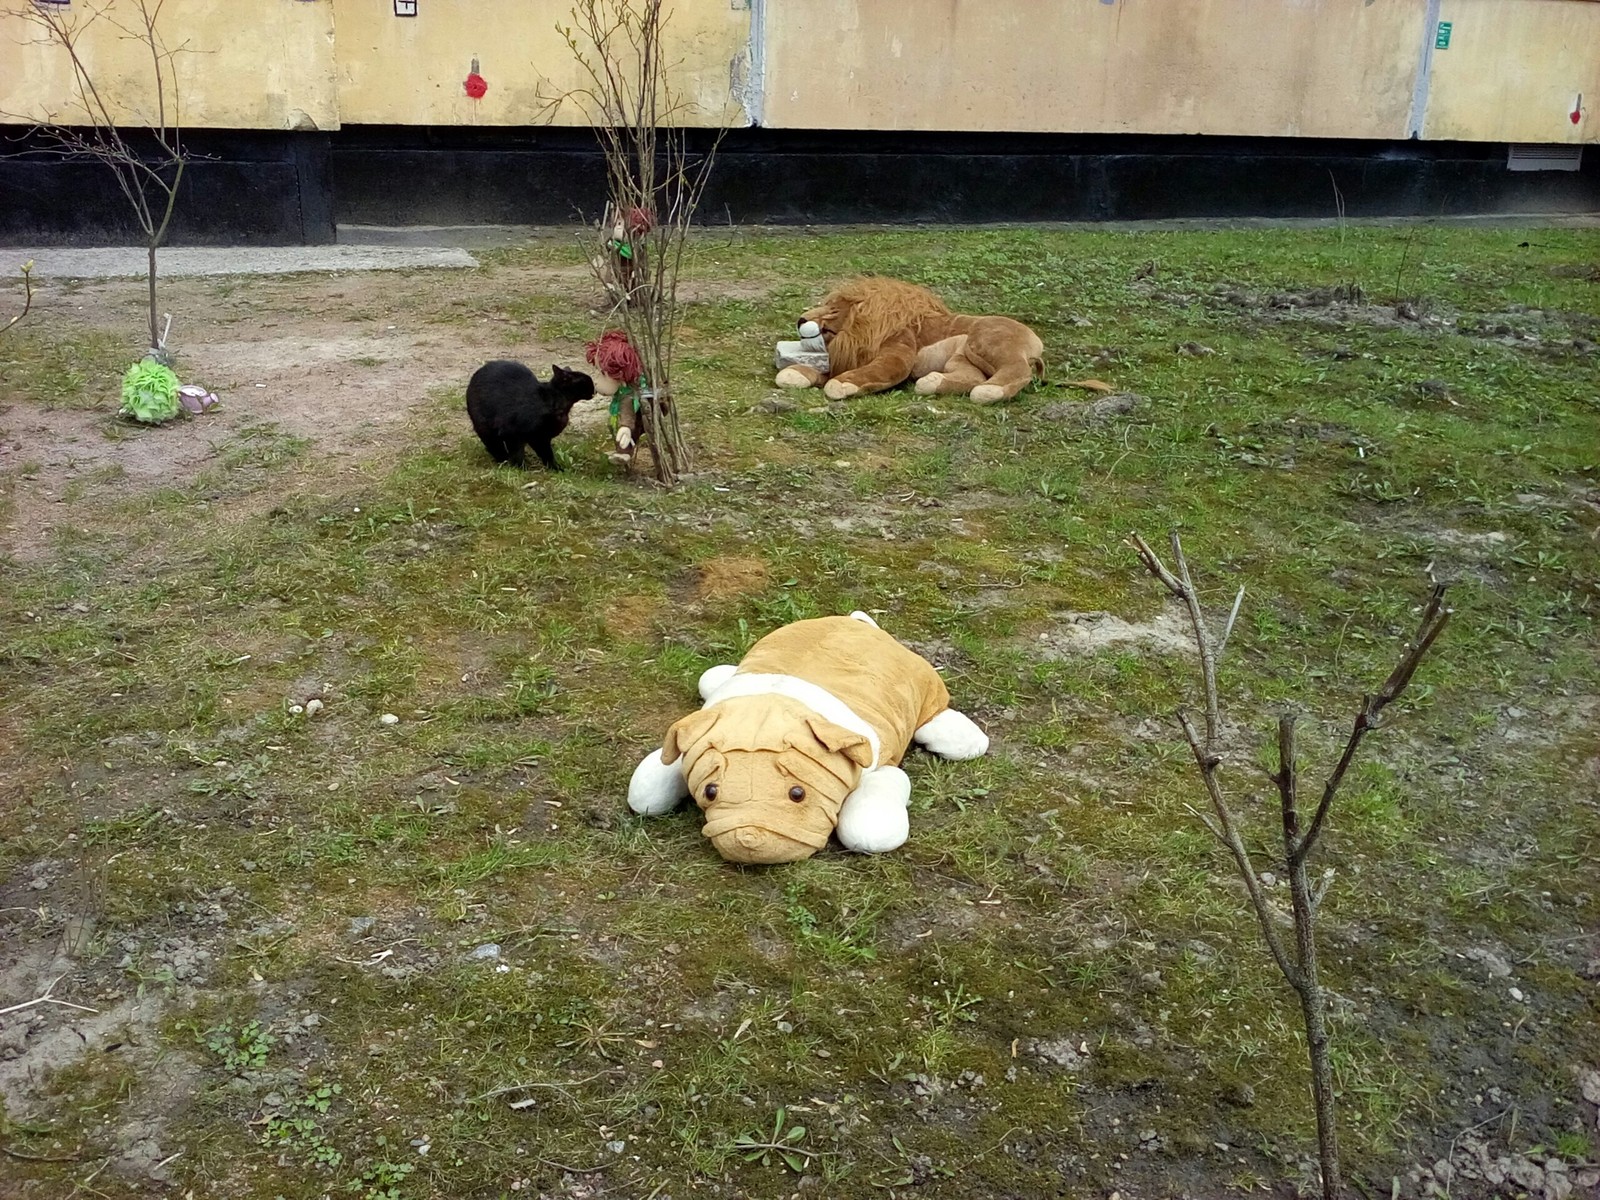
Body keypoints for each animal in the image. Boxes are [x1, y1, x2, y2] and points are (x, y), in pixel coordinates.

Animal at [467, 361, 598, 470]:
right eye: (585, 381)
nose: (595, 390)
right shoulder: (512, 433)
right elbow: (517, 453)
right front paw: (520, 468)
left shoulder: (540, 438)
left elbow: (547, 454)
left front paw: (555, 468)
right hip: (485, 428)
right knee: (494, 446)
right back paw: (503, 461)